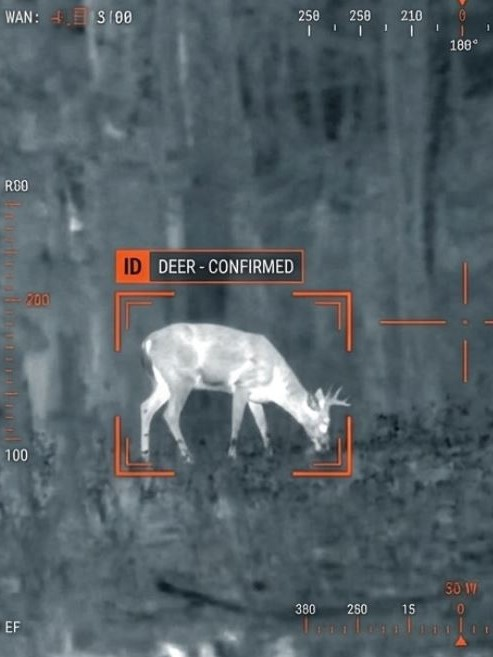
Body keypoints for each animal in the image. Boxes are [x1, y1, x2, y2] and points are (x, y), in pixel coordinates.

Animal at [140, 323, 350, 463]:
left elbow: (263, 426)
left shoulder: (255, 398)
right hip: (180, 380)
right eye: (325, 422)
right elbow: (236, 422)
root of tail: (148, 342)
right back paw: (188, 457)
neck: (275, 377)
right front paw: (232, 456)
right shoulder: (242, 385)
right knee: (170, 414)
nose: (325, 447)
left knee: (145, 407)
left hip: (162, 384)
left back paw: (145, 456)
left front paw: (270, 455)